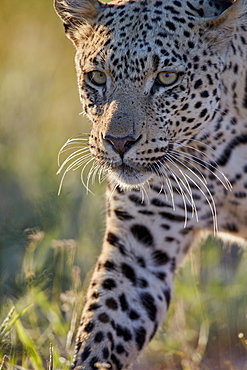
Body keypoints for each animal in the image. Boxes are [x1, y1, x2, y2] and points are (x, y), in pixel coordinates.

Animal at [54, 0, 247, 368]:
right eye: (97, 76)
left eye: (167, 78)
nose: (118, 142)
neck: (210, 148)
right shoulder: (138, 251)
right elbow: (103, 327)